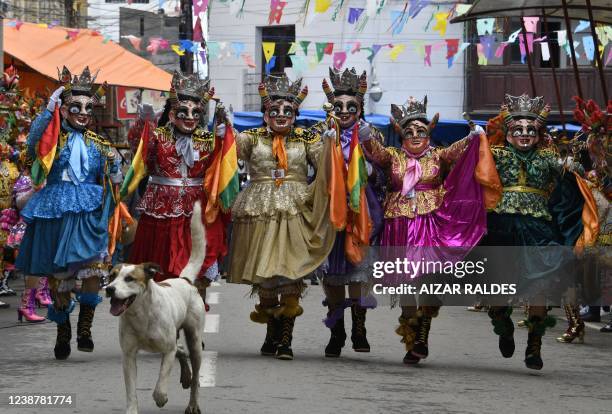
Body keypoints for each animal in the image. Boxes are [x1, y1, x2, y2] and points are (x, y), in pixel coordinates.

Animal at [106, 202, 207, 412]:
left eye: (129, 278)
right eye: (112, 276)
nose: (109, 289)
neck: (141, 314)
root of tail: (184, 280)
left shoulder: (167, 351)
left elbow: (161, 384)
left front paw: (161, 398)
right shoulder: (128, 355)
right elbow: (131, 390)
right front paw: (131, 409)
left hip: (195, 338)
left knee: (193, 369)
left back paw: (193, 402)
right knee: (181, 350)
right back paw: (186, 376)